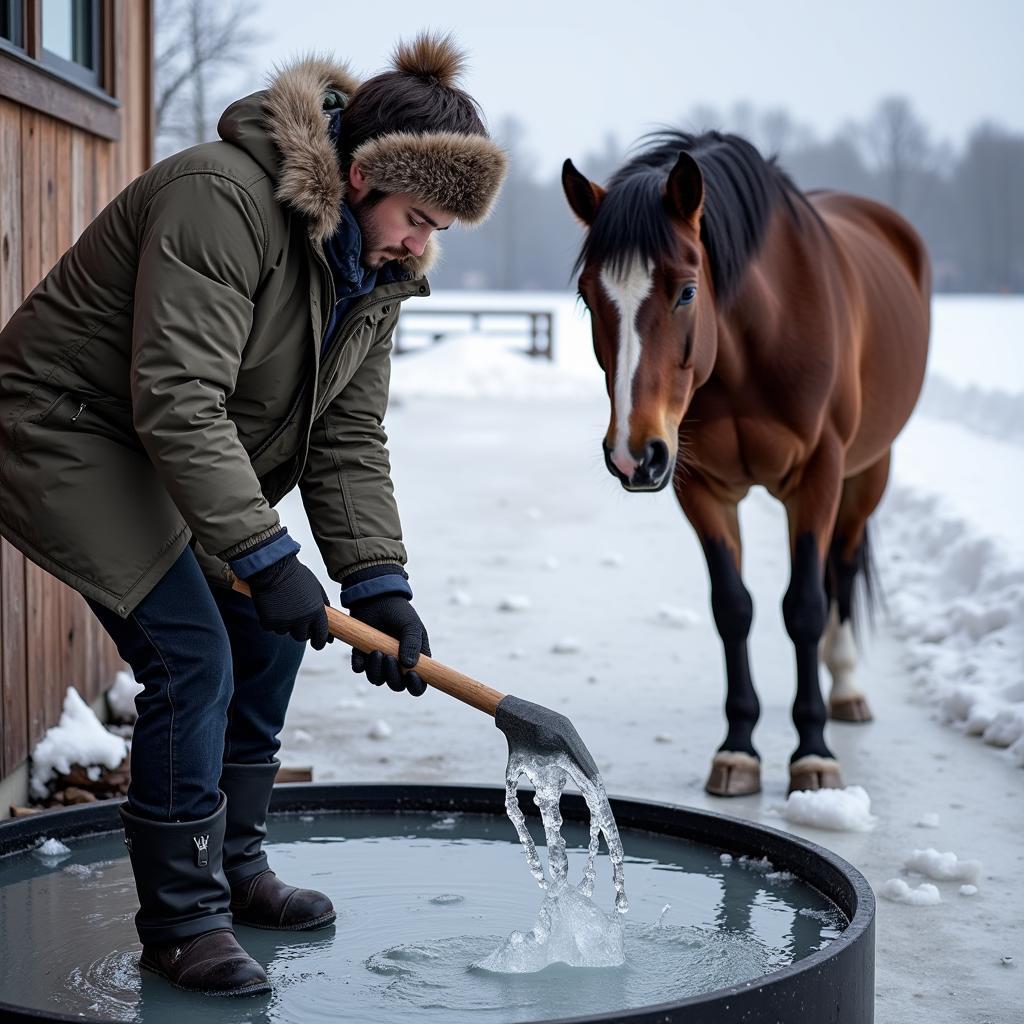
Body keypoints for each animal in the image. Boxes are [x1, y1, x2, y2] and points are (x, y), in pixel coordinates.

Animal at [565, 132, 933, 794]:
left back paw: (845, 687)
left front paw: (813, 753)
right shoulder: (701, 487)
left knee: (841, 569)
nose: (633, 454)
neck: (756, 345)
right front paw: (738, 749)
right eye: (588, 296)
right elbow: (733, 609)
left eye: (687, 290)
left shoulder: (817, 478)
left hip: (869, 471)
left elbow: (804, 608)